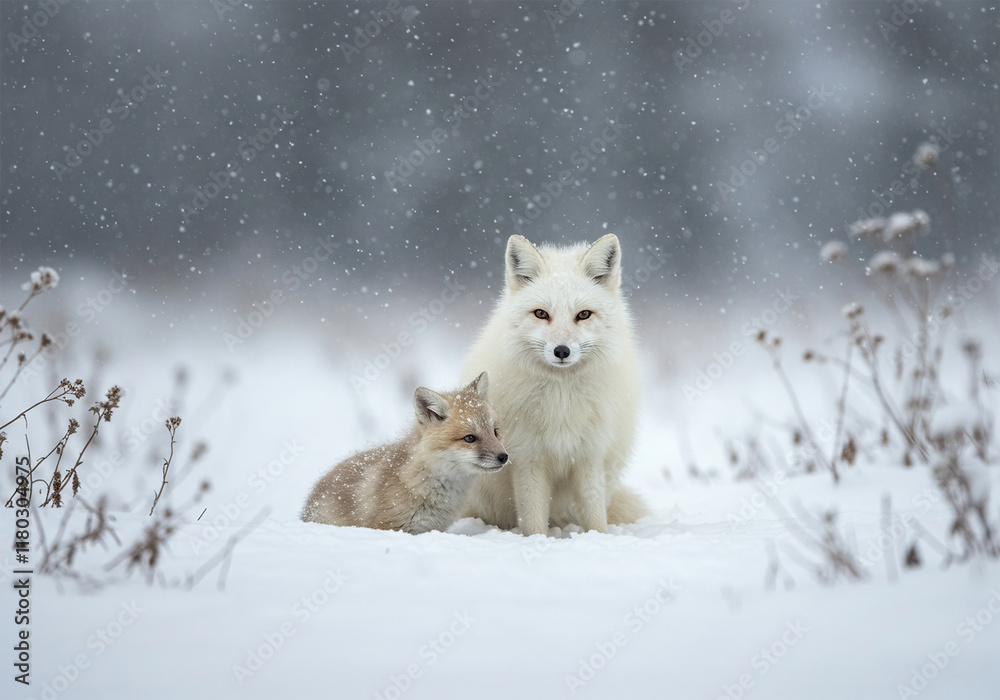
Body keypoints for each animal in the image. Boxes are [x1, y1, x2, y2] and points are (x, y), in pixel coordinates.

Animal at [461, 233, 647, 536]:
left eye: (583, 315)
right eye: (540, 314)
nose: (562, 351)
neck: (562, 401)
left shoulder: (589, 455)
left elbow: (595, 514)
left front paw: (600, 539)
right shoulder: (526, 457)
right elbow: (533, 518)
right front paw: (538, 541)